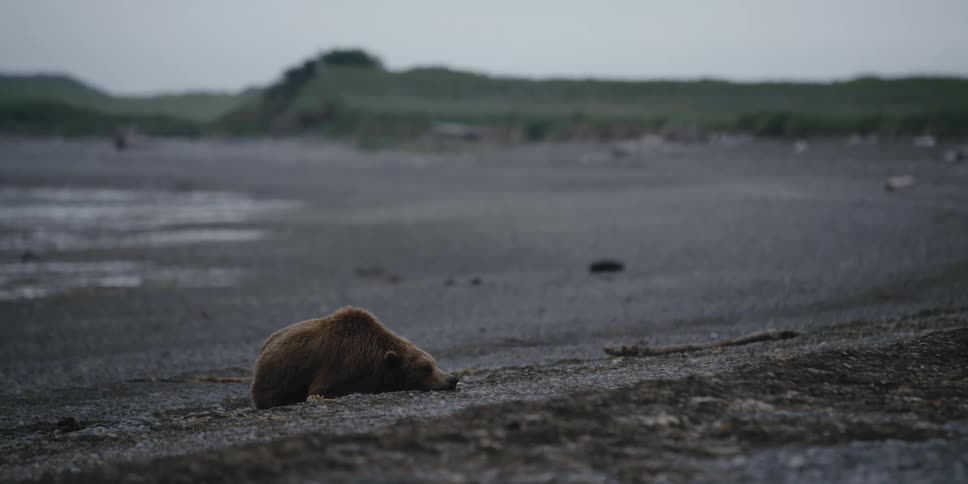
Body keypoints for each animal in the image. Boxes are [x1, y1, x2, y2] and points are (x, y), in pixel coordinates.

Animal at [251, 306, 459, 409]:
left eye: (434, 363)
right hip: (274, 384)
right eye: (426, 368)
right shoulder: (341, 363)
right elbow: (323, 389)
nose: (452, 379)